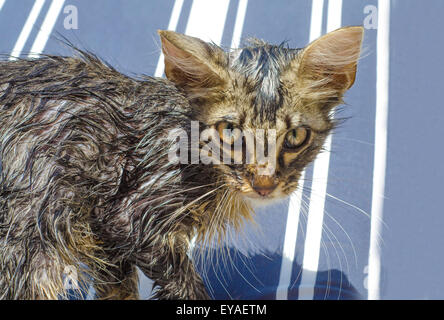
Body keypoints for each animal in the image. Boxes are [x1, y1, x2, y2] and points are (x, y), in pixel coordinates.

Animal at [0, 26, 360, 298]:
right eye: (230, 132)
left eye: (296, 136)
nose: (264, 184)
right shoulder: (124, 214)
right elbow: (182, 284)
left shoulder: (106, 236)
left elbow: (117, 285)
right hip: (28, 251)